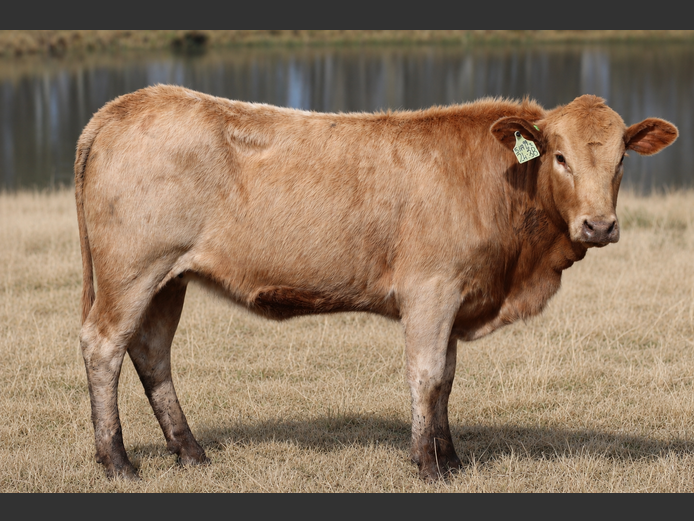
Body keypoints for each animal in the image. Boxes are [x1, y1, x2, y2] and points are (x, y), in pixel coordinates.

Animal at [74, 84, 678, 481]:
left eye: (622, 159)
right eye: (559, 156)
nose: (598, 225)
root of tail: (129, 103)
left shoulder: (456, 298)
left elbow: (447, 379)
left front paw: (451, 458)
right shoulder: (432, 290)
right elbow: (426, 376)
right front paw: (426, 465)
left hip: (168, 279)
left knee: (152, 352)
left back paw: (190, 452)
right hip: (132, 271)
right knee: (105, 345)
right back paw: (117, 461)